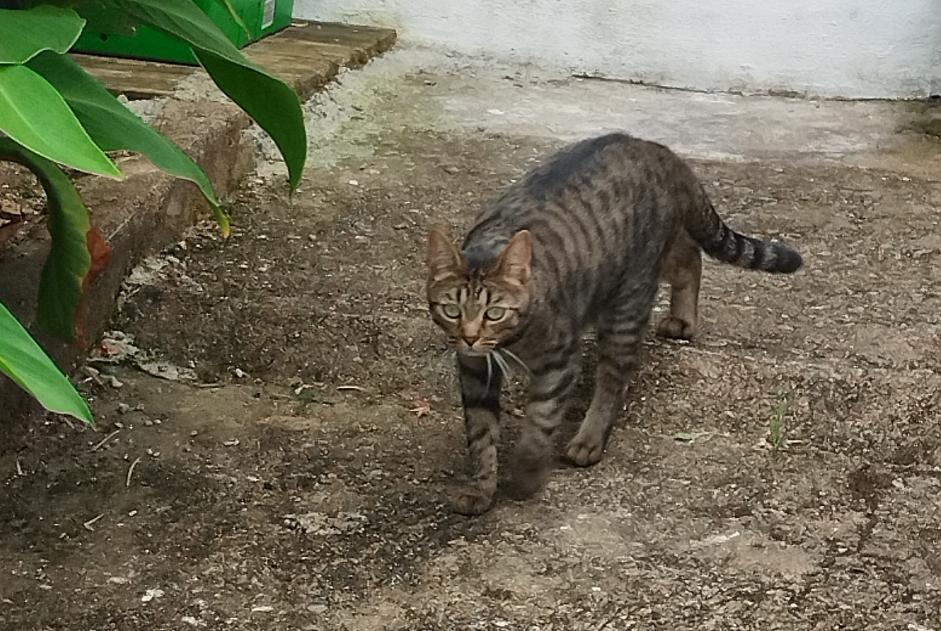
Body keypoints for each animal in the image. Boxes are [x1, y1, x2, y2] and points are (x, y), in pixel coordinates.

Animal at [426, 131, 800, 516]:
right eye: (452, 311)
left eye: (494, 313)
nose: (469, 337)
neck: (511, 342)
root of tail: (659, 150)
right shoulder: (473, 371)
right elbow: (480, 434)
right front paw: (482, 489)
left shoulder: (558, 363)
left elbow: (540, 424)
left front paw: (526, 476)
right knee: (690, 258)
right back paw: (682, 319)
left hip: (626, 303)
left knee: (613, 379)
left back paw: (589, 440)